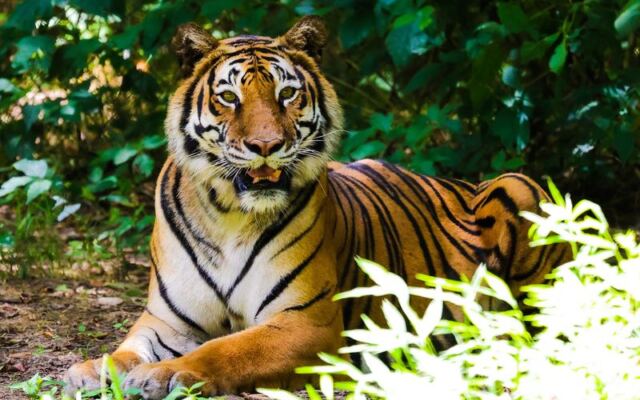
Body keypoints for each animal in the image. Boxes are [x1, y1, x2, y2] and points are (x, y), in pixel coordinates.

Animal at [64, 16, 568, 398]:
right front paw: (90, 369)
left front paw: (164, 374)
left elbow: (227, 349)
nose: (265, 145)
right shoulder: (168, 321)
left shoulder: (307, 323)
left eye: (286, 94)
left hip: (521, 187)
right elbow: (127, 349)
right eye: (229, 97)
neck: (229, 214)